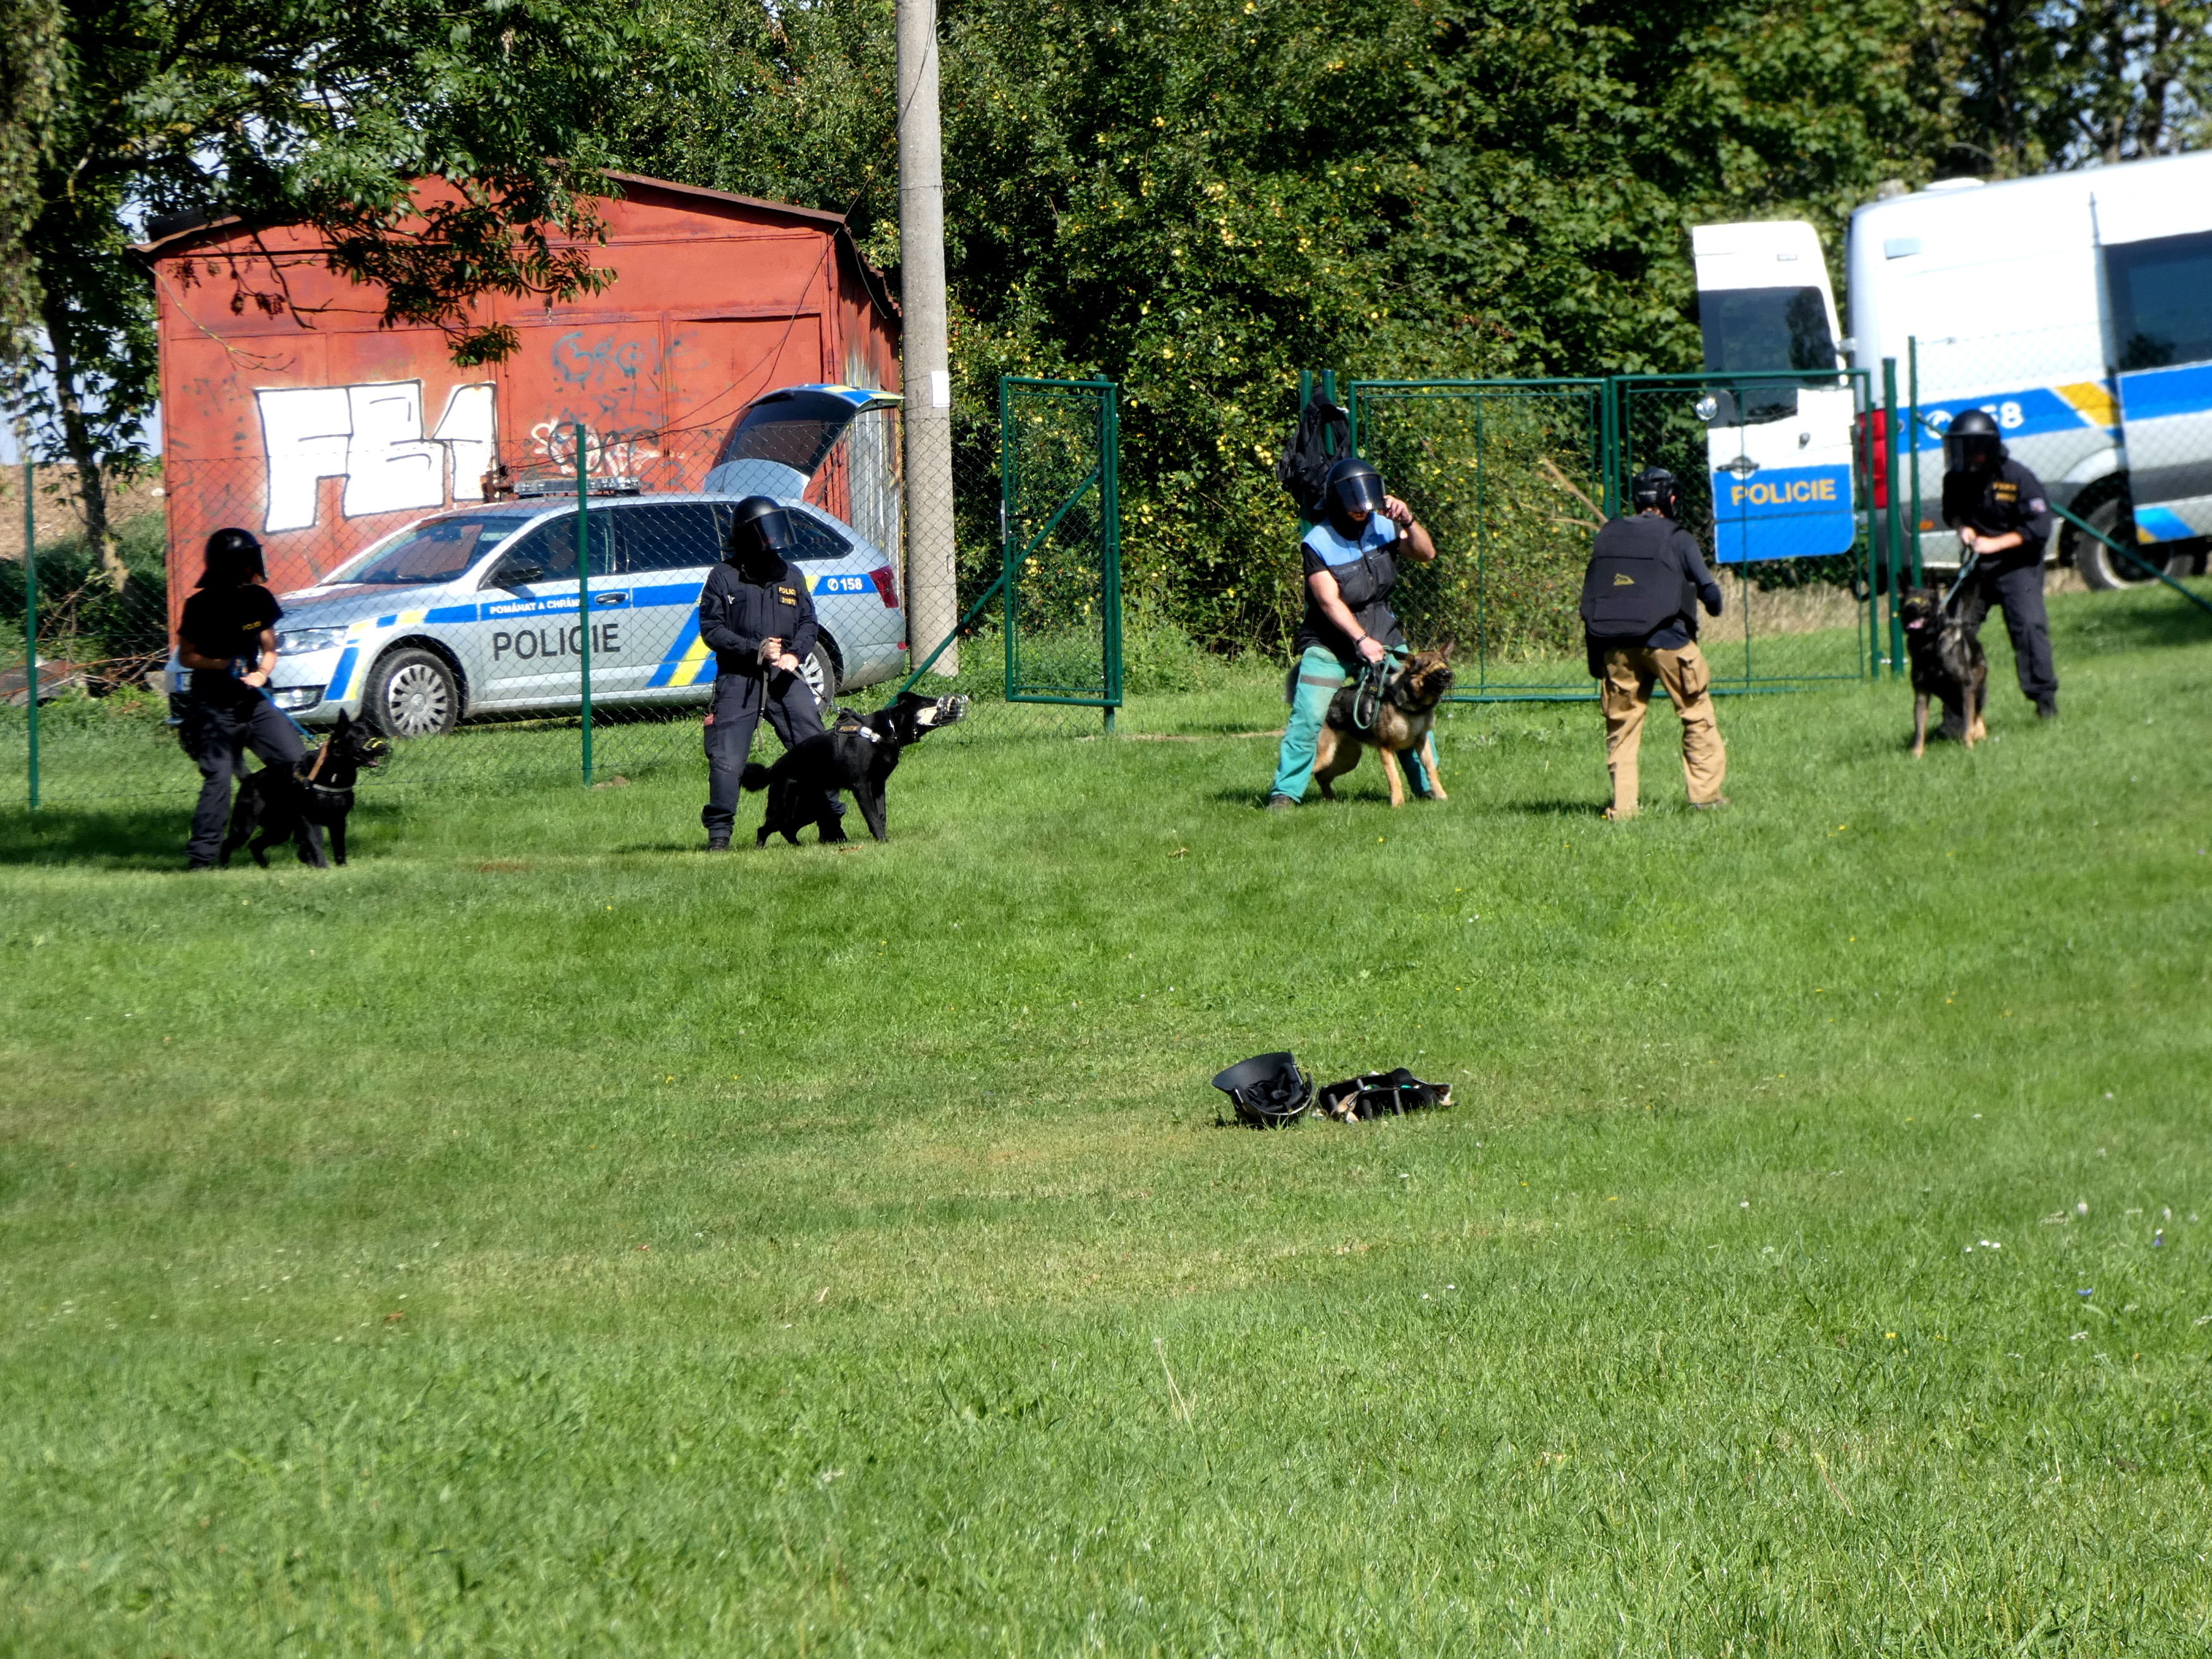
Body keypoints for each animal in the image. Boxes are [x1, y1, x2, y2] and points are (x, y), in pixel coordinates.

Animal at [222, 711, 391, 868]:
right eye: (361, 737)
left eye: (371, 734)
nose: (384, 748)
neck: (335, 774)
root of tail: (250, 777)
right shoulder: (309, 819)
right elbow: (315, 843)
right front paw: (323, 866)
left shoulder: (338, 821)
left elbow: (339, 847)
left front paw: (342, 866)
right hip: (245, 826)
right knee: (228, 843)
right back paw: (223, 867)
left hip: (280, 830)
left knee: (255, 845)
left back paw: (265, 867)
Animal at [742, 691, 968, 846]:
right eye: (930, 702)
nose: (956, 702)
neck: (887, 730)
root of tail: (774, 768)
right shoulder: (861, 786)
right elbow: (872, 816)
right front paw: (882, 841)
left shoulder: (878, 786)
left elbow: (881, 815)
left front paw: (883, 837)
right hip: (785, 807)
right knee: (765, 829)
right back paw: (762, 848)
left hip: (808, 809)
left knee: (787, 828)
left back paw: (797, 846)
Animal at [1311, 645, 1455, 806]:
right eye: (1427, 665)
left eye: (1444, 663)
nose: (1447, 674)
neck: (1413, 707)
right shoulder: (1385, 748)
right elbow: (1394, 777)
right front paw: (1398, 803)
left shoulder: (1422, 742)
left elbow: (1431, 770)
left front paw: (1441, 796)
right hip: (1324, 756)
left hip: (1349, 758)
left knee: (1321, 776)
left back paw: (1332, 800)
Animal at [1900, 587, 1988, 757]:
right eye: (1907, 600)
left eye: (1923, 600)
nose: (1911, 608)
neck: (1927, 643)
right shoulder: (1921, 694)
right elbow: (1920, 729)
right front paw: (1917, 754)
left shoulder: (1966, 688)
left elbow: (1968, 721)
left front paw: (1968, 745)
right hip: (1951, 698)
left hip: (1973, 688)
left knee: (1975, 714)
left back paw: (1978, 734)